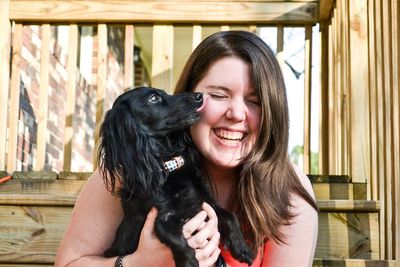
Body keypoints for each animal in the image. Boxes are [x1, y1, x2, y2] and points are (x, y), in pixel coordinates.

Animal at [98, 87, 253, 266]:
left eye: (165, 92)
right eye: (153, 98)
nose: (199, 96)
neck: (170, 167)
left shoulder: (206, 202)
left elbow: (230, 216)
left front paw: (242, 248)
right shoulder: (162, 217)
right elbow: (175, 238)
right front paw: (189, 261)